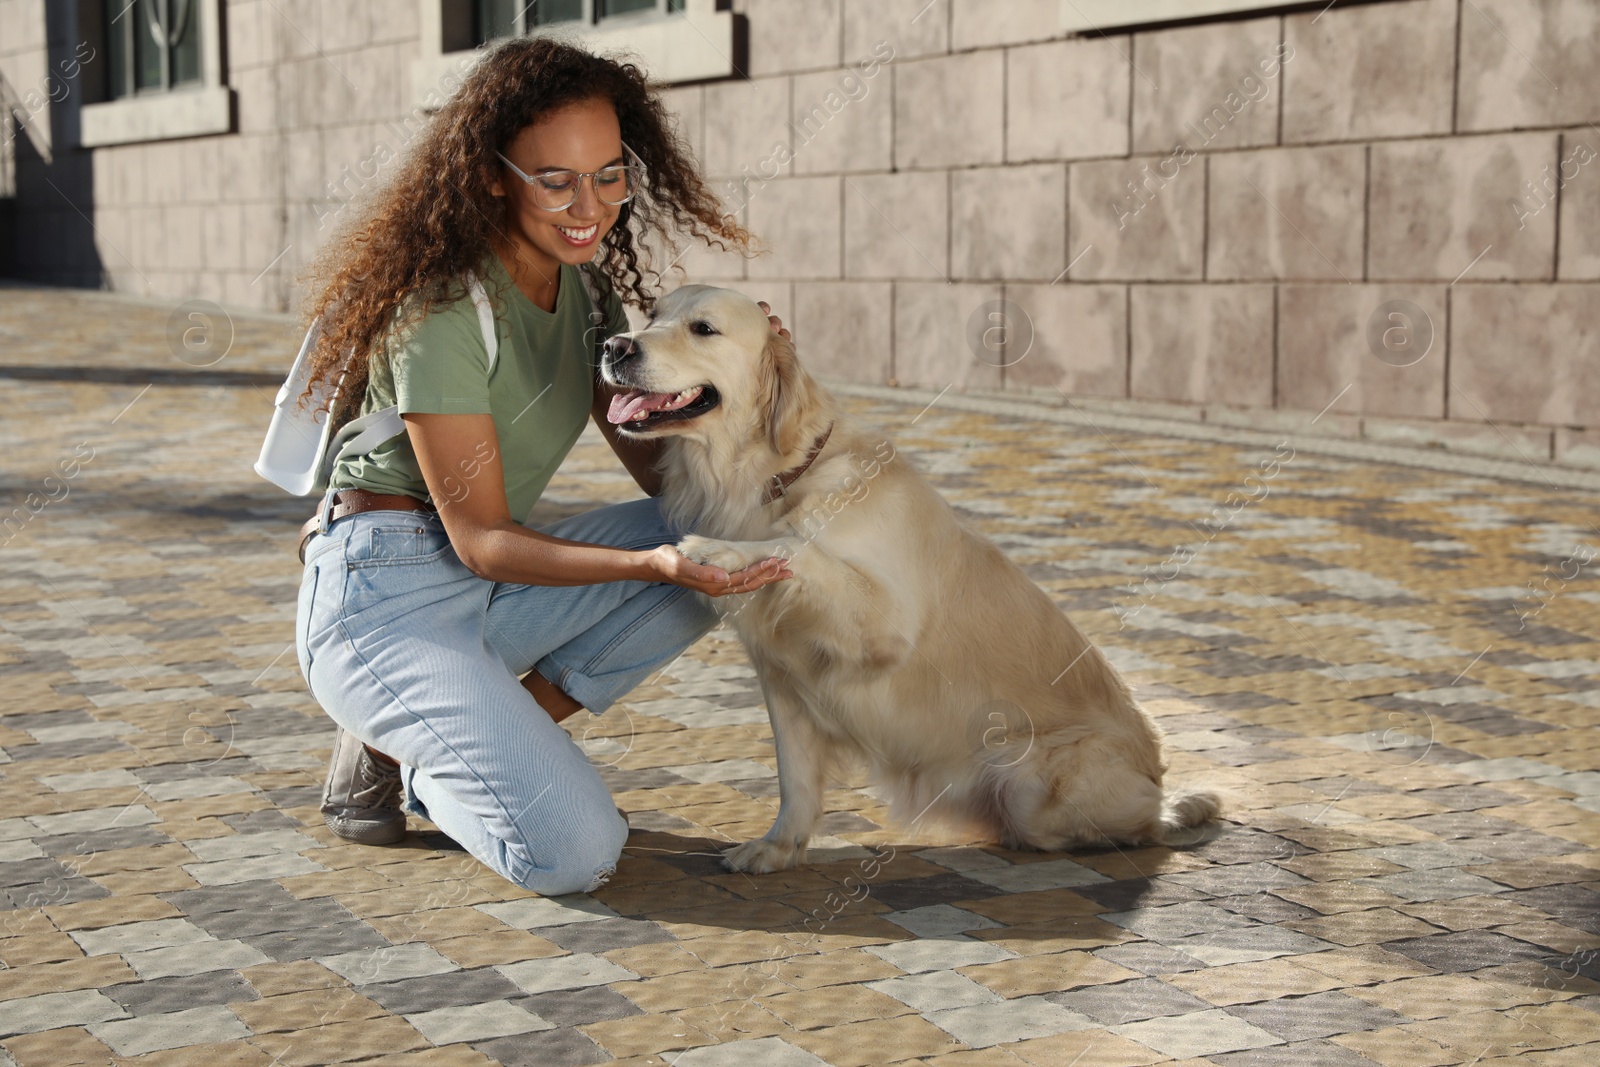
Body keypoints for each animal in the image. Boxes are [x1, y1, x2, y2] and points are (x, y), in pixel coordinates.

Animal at [598, 286, 1209, 876]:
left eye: (703, 328)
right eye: (651, 315)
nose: (614, 346)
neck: (778, 476)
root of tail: (1154, 773)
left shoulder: (883, 626)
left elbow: (798, 548)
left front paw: (718, 550)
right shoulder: (780, 679)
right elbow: (794, 777)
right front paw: (779, 848)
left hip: (1033, 786)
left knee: (1136, 824)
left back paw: (1184, 807)